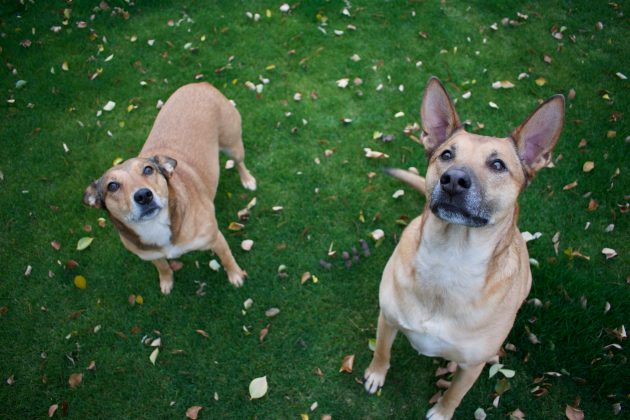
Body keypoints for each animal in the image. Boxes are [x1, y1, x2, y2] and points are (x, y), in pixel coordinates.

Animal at [84, 81, 256, 292]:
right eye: (112, 186)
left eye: (148, 170)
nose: (144, 196)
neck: (155, 225)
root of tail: (200, 83)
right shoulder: (150, 255)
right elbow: (163, 267)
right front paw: (166, 281)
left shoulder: (216, 238)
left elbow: (227, 258)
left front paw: (235, 275)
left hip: (232, 145)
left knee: (239, 163)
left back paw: (247, 180)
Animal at [362, 77, 564, 418]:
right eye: (446, 154)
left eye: (498, 164)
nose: (453, 180)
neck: (449, 260)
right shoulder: (386, 320)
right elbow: (382, 351)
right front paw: (376, 373)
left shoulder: (471, 366)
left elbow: (455, 393)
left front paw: (442, 412)